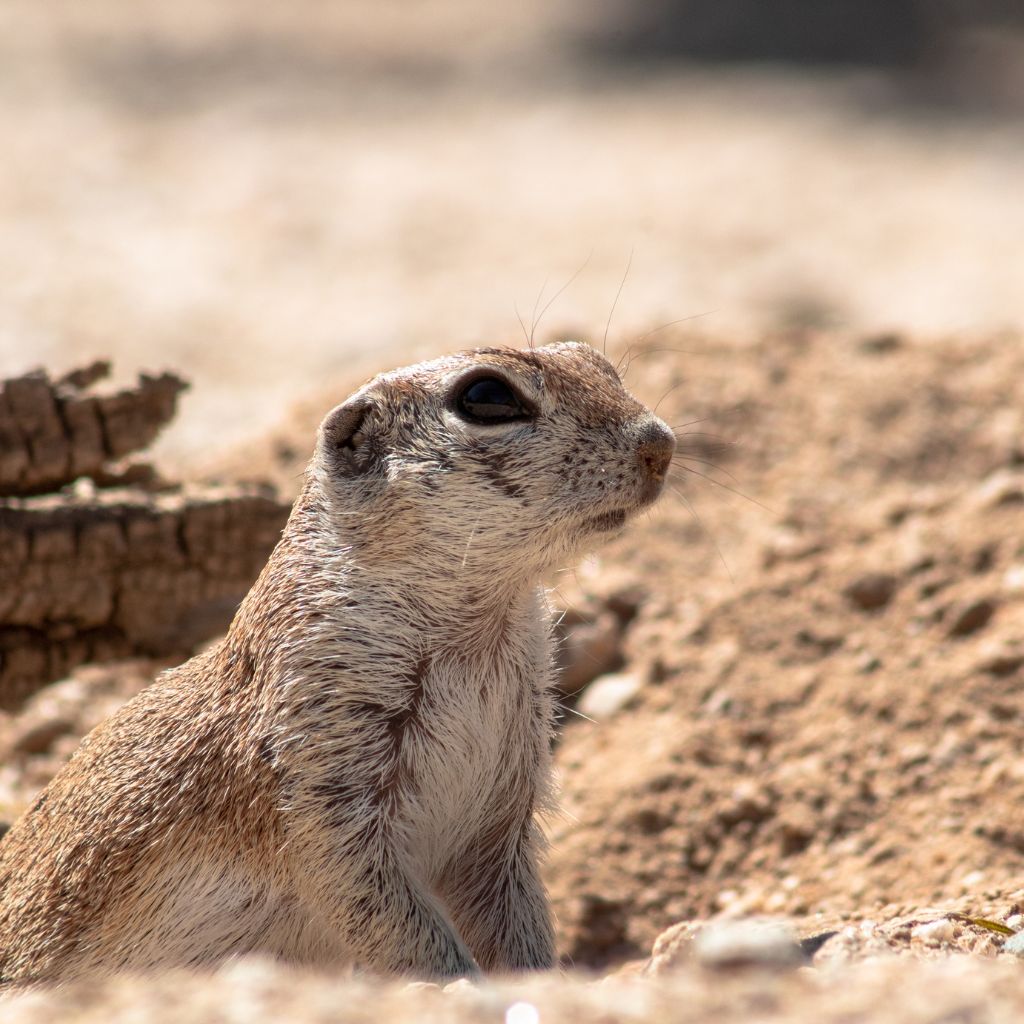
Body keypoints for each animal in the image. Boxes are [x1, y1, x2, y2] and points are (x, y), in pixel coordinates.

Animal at [0, 342, 675, 983]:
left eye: (597, 362)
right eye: (487, 396)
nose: (661, 444)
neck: (482, 632)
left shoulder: (503, 807)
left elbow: (515, 916)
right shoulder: (319, 776)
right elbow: (383, 911)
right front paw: (459, 985)